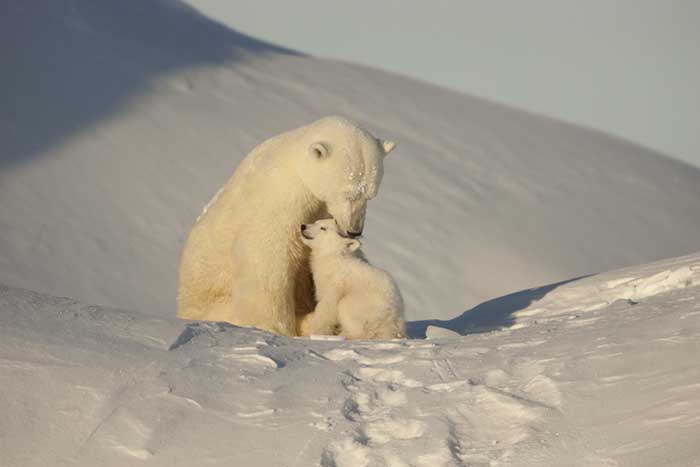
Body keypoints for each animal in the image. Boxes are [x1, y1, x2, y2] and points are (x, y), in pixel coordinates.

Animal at [178, 117, 396, 336]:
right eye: (348, 193)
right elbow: (267, 256)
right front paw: (274, 327)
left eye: (370, 195)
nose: (354, 230)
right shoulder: (278, 197)